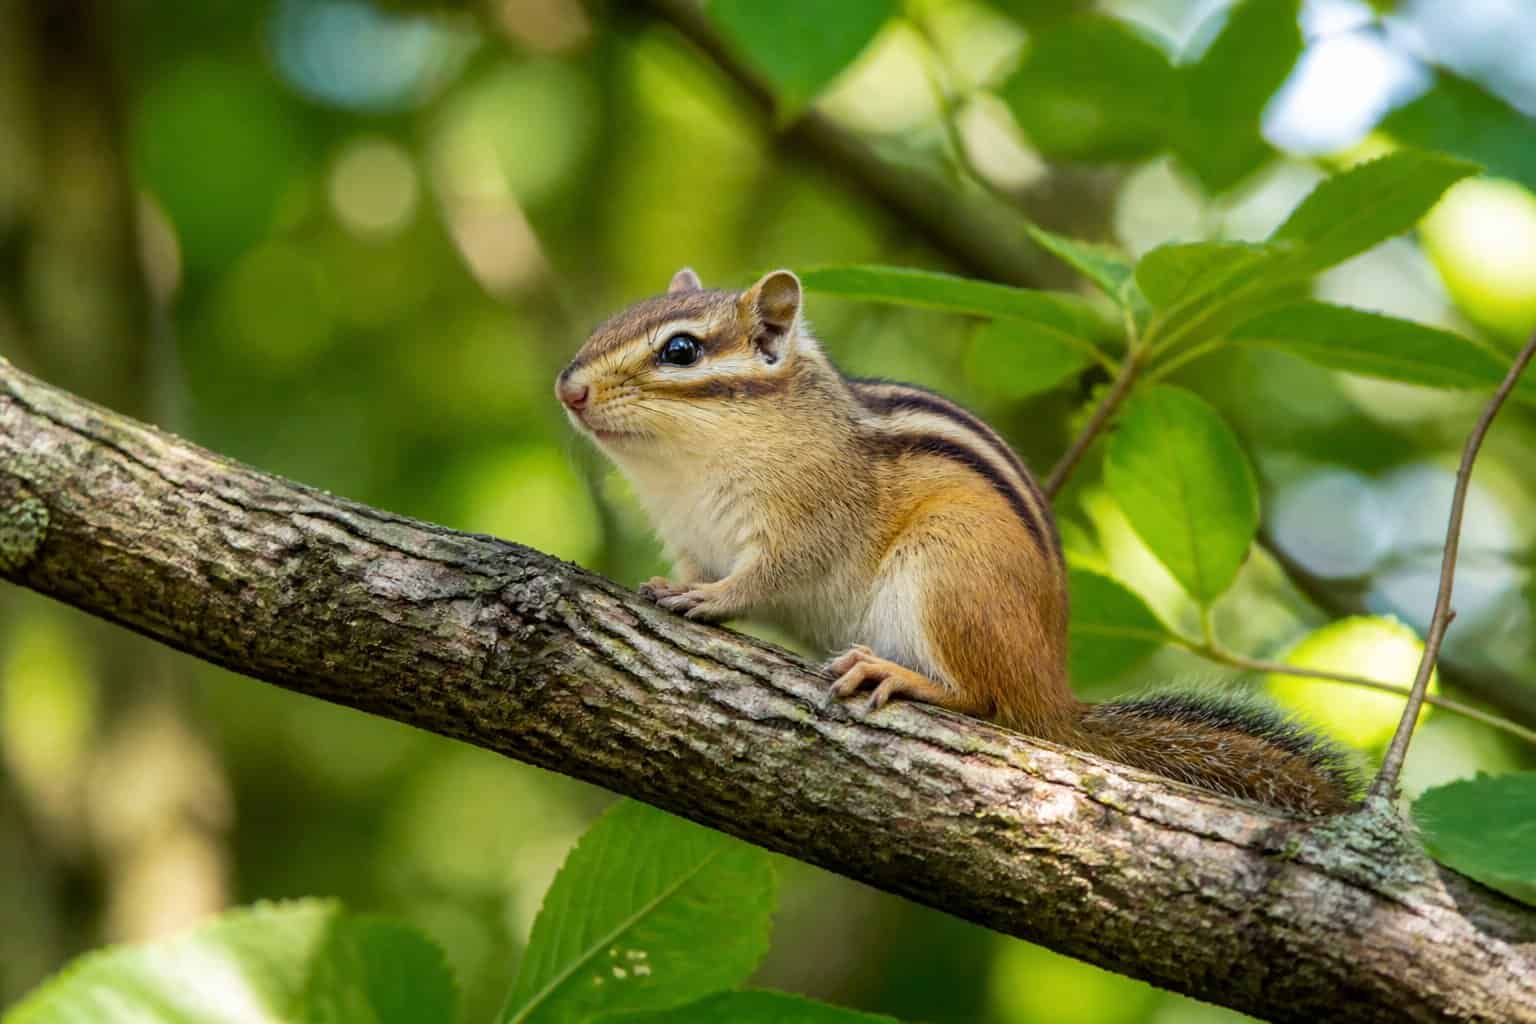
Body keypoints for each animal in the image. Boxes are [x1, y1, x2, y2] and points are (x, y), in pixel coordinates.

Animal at [555, 267, 1358, 816]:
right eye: (612, 321)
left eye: (681, 350)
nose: (569, 389)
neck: (684, 472)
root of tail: (1052, 693)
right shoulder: (690, 532)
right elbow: (691, 564)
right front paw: (671, 585)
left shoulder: (812, 516)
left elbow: (768, 575)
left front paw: (713, 598)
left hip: (949, 568)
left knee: (986, 700)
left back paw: (900, 675)